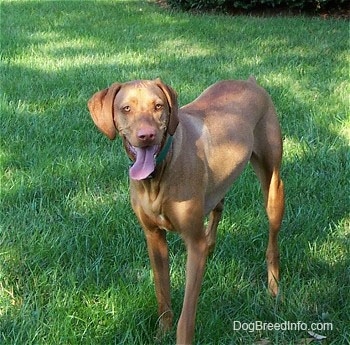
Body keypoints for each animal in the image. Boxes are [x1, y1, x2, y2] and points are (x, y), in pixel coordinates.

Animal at [87, 76, 284, 342]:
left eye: (158, 106)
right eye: (126, 108)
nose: (146, 135)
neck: (159, 172)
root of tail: (250, 81)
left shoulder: (193, 242)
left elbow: (187, 316)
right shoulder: (154, 237)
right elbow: (163, 294)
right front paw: (162, 333)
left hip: (272, 186)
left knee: (272, 243)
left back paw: (274, 287)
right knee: (218, 206)